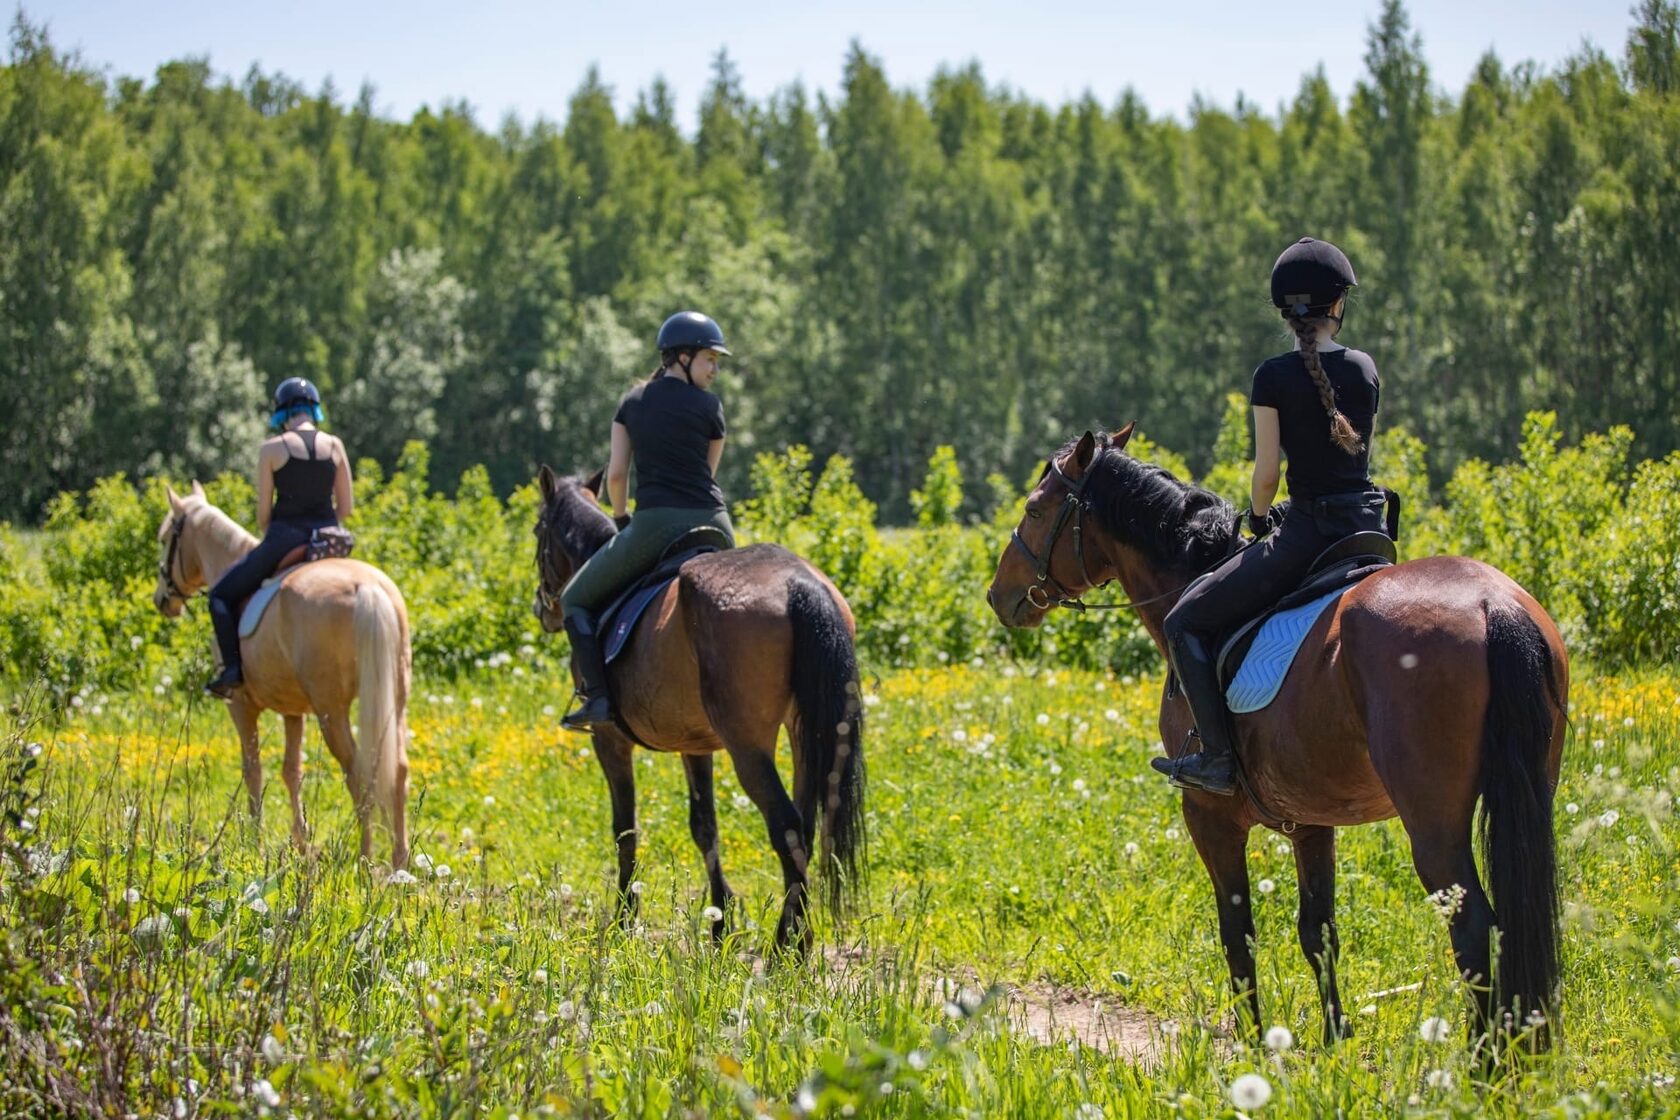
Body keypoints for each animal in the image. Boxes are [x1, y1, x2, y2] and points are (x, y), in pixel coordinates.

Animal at [153, 480, 409, 866]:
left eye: (166, 537)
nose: (162, 600)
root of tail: (367, 588)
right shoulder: (293, 711)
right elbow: (292, 772)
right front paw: (302, 844)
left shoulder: (240, 705)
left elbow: (253, 769)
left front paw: (253, 842)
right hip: (393, 700)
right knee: (398, 769)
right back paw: (400, 861)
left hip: (331, 710)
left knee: (357, 771)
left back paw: (365, 860)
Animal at [527, 470, 866, 953]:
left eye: (539, 531)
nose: (544, 609)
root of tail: (798, 585)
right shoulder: (696, 743)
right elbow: (705, 827)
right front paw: (719, 923)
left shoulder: (609, 741)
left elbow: (624, 828)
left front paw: (624, 920)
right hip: (805, 734)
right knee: (805, 822)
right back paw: (793, 936)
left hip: (748, 747)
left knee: (786, 827)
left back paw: (787, 947)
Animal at [987, 426, 1565, 1054]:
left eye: (1035, 509)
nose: (998, 595)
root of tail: (1492, 605)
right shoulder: (1311, 820)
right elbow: (1320, 932)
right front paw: (1335, 1040)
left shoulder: (1210, 816)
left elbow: (1237, 932)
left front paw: (1250, 1042)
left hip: (1433, 824)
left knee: (1476, 931)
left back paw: (1485, 1061)